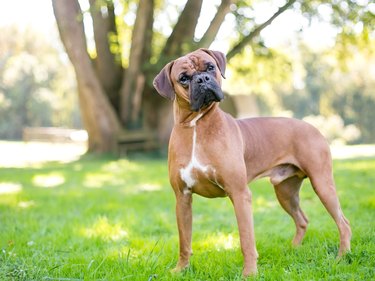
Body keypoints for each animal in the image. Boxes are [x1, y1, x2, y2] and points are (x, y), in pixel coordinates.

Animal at [153, 48, 352, 276]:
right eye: (184, 78)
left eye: (210, 67)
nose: (202, 79)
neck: (196, 125)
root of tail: (312, 127)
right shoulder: (183, 198)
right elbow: (184, 241)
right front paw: (181, 270)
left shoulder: (240, 194)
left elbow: (246, 240)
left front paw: (249, 273)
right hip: (286, 192)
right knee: (302, 220)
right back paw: (293, 250)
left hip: (322, 184)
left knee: (343, 223)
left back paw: (342, 256)